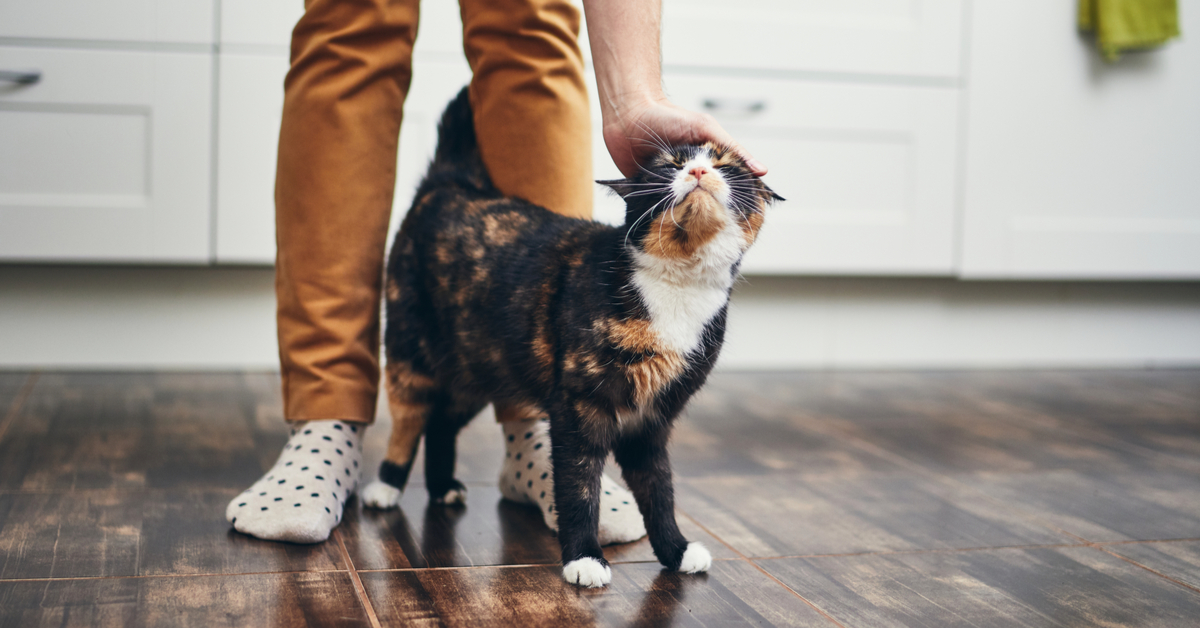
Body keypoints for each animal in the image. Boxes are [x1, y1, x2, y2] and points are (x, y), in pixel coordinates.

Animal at [364, 89, 782, 590]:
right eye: (670, 164)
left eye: (725, 164)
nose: (698, 172)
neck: (677, 287)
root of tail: (451, 184)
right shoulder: (579, 408)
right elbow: (579, 487)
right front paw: (584, 557)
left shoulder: (652, 420)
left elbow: (659, 490)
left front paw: (676, 550)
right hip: (411, 352)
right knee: (410, 419)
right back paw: (385, 485)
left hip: (479, 367)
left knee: (443, 421)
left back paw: (443, 486)